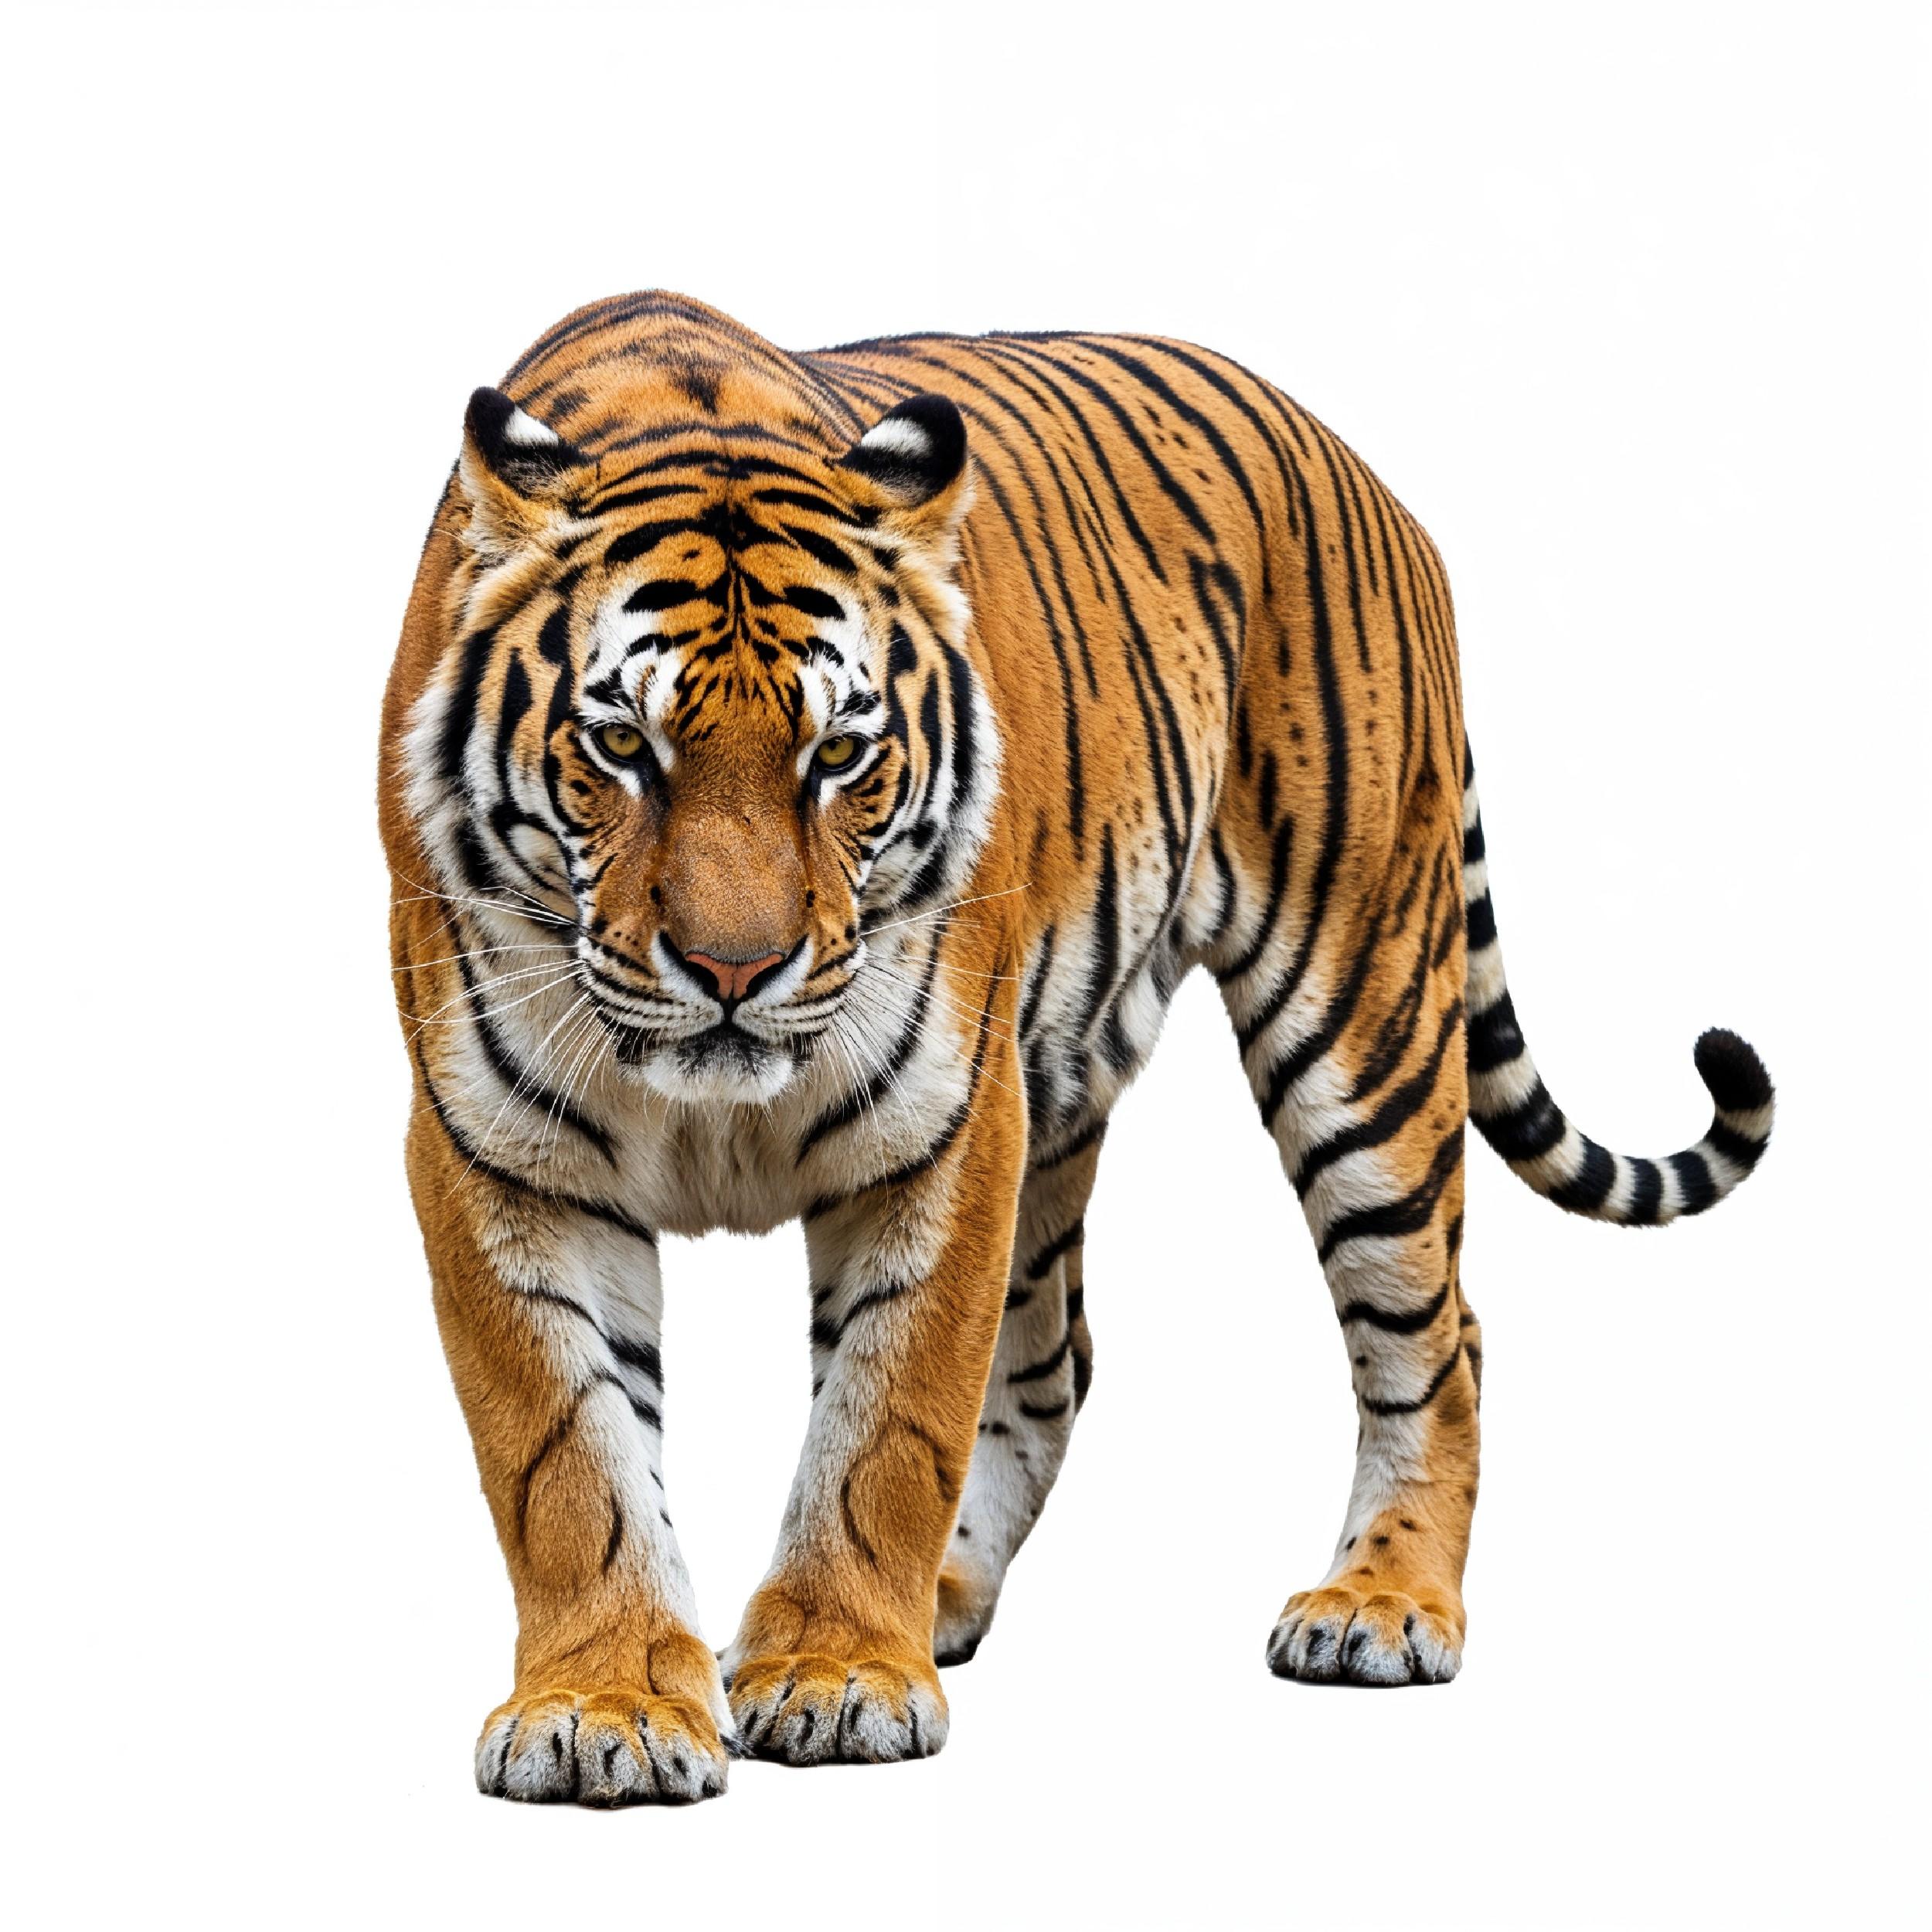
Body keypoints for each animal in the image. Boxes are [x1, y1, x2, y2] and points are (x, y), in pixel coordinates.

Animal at [379, 289, 1774, 1806]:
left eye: (838, 757)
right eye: (622, 747)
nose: (737, 971)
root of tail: (1357, 466)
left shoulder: (940, 1120)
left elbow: (886, 1418)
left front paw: (836, 1674)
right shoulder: (498, 1152)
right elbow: (568, 1454)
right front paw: (611, 1706)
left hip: (1364, 1009)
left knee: (1437, 1330)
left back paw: (1382, 1606)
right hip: (1068, 1091)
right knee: (1053, 1361)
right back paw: (942, 1597)